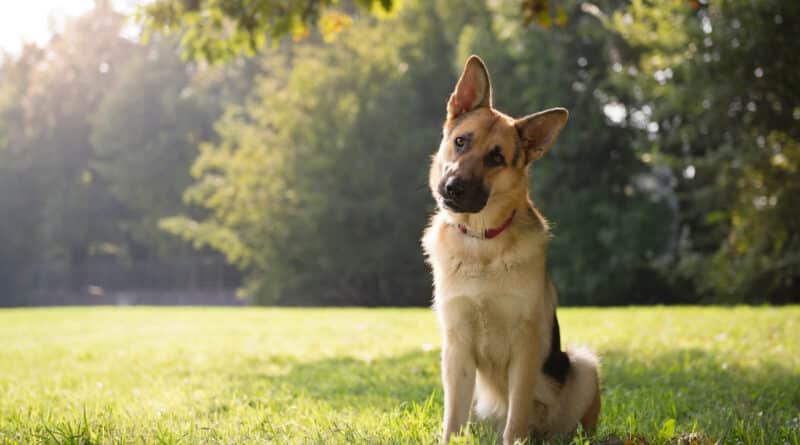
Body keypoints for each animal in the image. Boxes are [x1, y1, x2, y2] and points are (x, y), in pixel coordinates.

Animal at [422, 56, 604, 444]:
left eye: (496, 158)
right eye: (461, 141)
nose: (453, 187)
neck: (482, 243)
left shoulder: (526, 346)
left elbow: (516, 415)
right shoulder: (456, 348)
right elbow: (452, 418)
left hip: (582, 365)